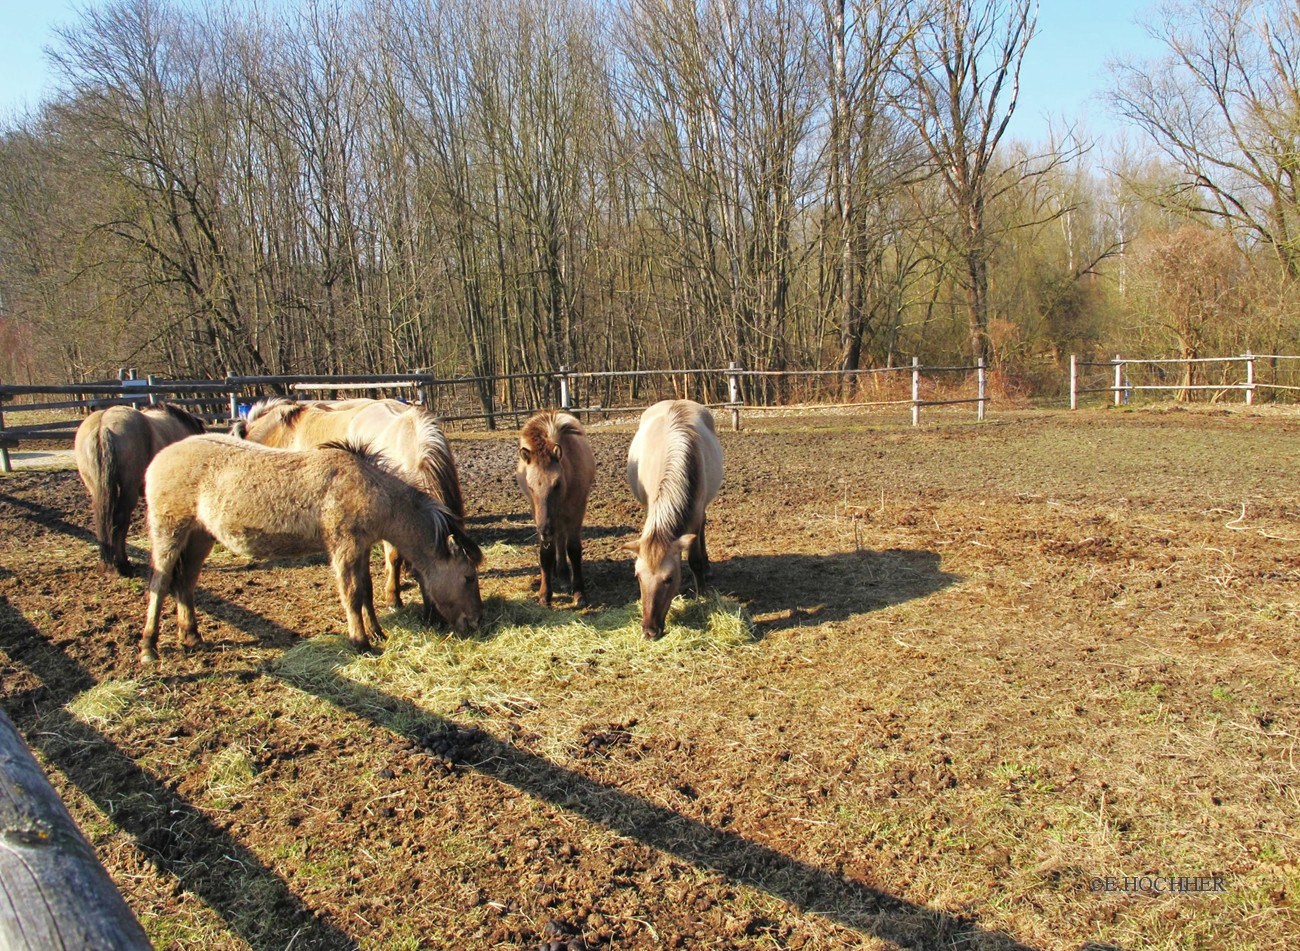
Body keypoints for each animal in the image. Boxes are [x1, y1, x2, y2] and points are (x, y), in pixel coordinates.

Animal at [139, 433, 483, 659]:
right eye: (469, 577)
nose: (474, 623)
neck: (368, 488)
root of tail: (159, 458)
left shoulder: (361, 548)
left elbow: (366, 592)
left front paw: (377, 632)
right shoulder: (344, 548)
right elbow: (352, 595)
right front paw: (360, 643)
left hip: (200, 537)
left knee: (185, 584)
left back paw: (192, 637)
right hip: (169, 532)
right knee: (160, 583)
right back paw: (148, 647)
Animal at [517, 410, 598, 605]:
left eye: (557, 484)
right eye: (530, 486)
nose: (545, 531)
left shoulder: (577, 510)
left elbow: (573, 549)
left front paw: (579, 592)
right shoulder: (538, 514)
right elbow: (546, 553)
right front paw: (545, 594)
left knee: (561, 540)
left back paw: (563, 574)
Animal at [626, 400, 728, 639]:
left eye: (669, 579)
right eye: (638, 577)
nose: (649, 631)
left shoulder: (696, 516)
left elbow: (695, 560)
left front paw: (702, 594)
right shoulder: (649, 506)